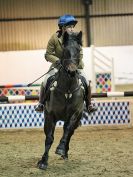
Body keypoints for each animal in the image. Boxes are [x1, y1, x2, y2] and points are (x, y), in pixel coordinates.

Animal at [37, 31, 85, 170]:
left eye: (79, 50)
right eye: (65, 50)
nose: (72, 71)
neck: (67, 90)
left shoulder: (75, 114)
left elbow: (67, 130)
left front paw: (60, 149)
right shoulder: (49, 115)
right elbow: (49, 138)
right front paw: (43, 161)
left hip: (77, 118)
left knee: (69, 132)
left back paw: (64, 152)